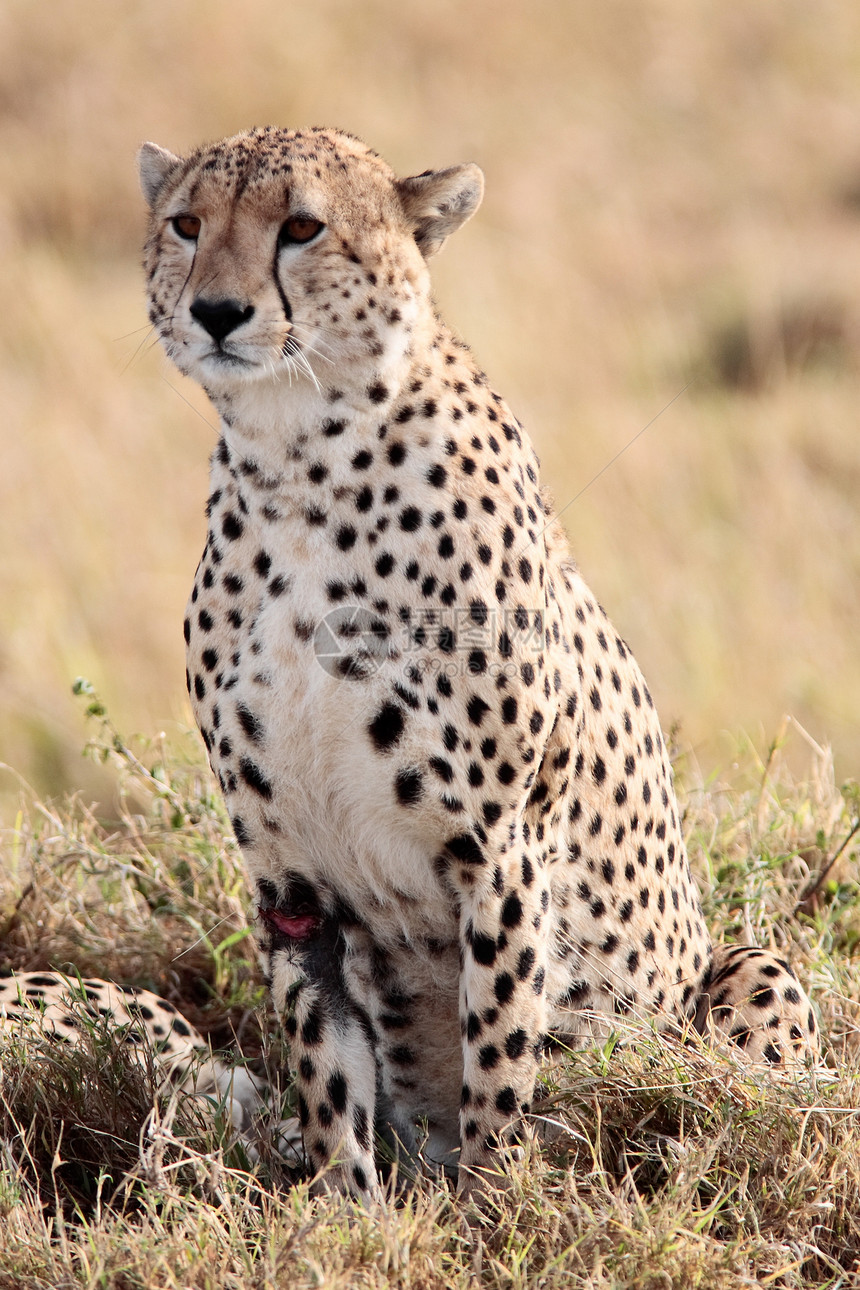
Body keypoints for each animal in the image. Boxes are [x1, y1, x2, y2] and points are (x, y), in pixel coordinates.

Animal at [136, 125, 820, 1191]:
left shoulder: (498, 850)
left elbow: (499, 1057)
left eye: (302, 227)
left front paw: (494, 1205)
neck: (297, 463)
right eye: (186, 224)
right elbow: (326, 1077)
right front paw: (342, 1211)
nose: (216, 310)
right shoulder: (291, 883)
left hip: (749, 973)